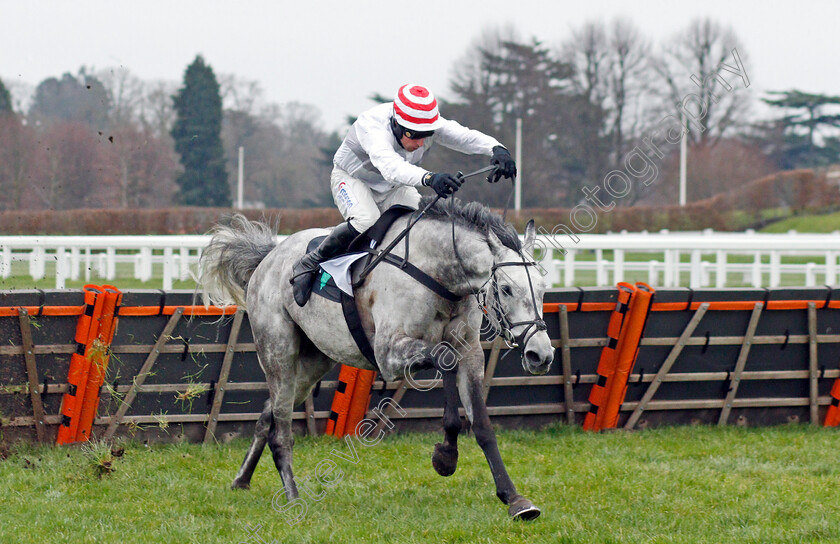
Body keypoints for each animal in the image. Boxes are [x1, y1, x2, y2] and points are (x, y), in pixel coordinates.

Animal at [196, 198, 552, 520]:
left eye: (544, 289)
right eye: (506, 289)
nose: (541, 354)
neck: (437, 274)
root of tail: (269, 256)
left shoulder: (470, 353)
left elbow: (482, 425)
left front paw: (514, 499)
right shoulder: (390, 355)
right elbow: (444, 356)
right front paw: (446, 455)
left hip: (312, 363)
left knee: (266, 416)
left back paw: (242, 479)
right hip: (278, 353)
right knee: (280, 429)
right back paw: (293, 498)